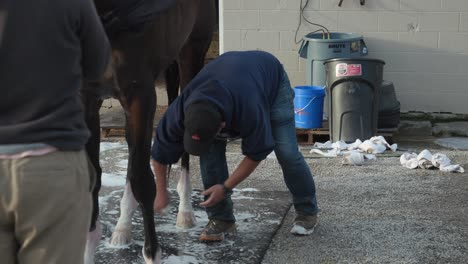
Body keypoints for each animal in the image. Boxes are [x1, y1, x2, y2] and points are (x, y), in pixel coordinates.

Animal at [81, 1, 218, 262]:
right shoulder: (85, 100)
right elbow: (92, 179)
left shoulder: (141, 97)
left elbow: (143, 181)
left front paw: (152, 253)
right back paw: (122, 228)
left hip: (191, 54)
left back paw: (185, 212)